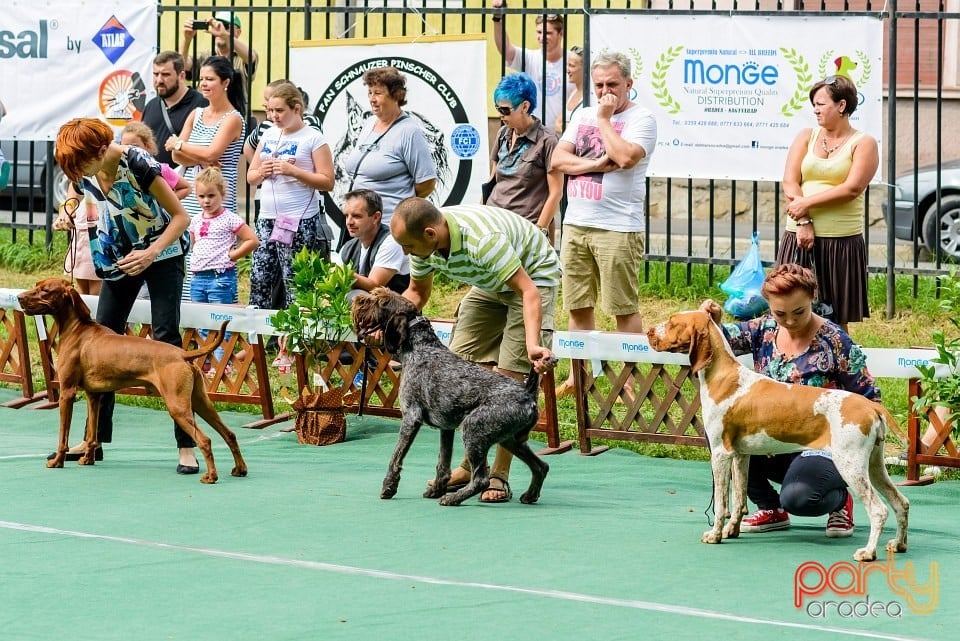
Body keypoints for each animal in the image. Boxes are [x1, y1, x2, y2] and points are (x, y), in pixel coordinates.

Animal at [19, 278, 248, 482]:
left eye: (45, 290)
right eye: (36, 285)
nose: (19, 298)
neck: (77, 329)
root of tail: (183, 354)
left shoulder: (67, 392)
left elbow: (62, 436)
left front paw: (57, 461)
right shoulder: (94, 396)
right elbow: (92, 433)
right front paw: (88, 459)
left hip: (177, 406)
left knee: (205, 440)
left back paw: (211, 476)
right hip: (200, 402)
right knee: (230, 434)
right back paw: (240, 469)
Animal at [644, 310, 908, 560]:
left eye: (672, 322)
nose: (648, 331)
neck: (723, 376)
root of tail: (871, 406)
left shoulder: (720, 453)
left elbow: (721, 503)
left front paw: (715, 535)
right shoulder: (740, 456)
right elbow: (738, 499)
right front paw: (732, 531)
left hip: (850, 465)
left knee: (879, 510)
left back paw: (868, 552)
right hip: (874, 466)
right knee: (901, 502)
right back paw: (898, 544)